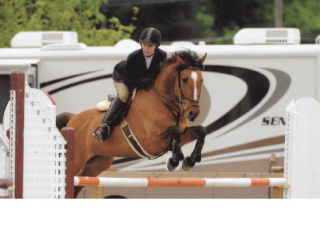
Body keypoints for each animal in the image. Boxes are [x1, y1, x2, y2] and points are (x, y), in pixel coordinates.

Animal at [57, 50, 208, 198]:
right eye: (184, 79)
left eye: (201, 80)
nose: (193, 113)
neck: (163, 103)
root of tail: (73, 118)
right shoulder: (152, 142)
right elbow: (175, 130)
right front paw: (174, 161)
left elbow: (200, 130)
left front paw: (190, 161)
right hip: (77, 159)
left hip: (97, 163)